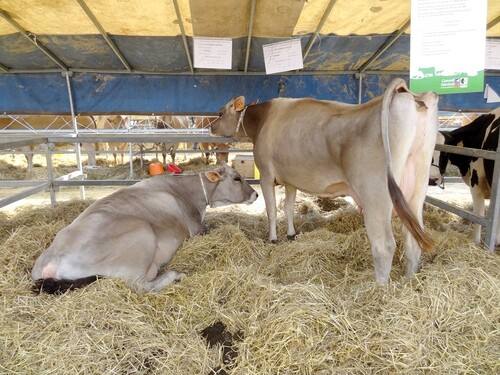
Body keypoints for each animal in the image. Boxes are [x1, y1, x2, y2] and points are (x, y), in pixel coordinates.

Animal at [31, 164, 258, 294]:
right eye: (237, 178)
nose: (256, 194)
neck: (187, 193)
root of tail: (50, 260)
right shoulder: (196, 228)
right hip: (142, 234)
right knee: (140, 286)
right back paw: (175, 275)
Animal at [210, 79, 438, 284]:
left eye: (220, 113)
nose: (211, 127)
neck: (264, 119)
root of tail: (409, 94)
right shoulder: (291, 179)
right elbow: (289, 207)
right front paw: (291, 234)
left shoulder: (266, 174)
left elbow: (272, 209)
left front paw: (272, 239)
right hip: (416, 189)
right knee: (412, 239)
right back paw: (409, 281)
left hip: (376, 194)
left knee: (384, 245)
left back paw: (379, 289)